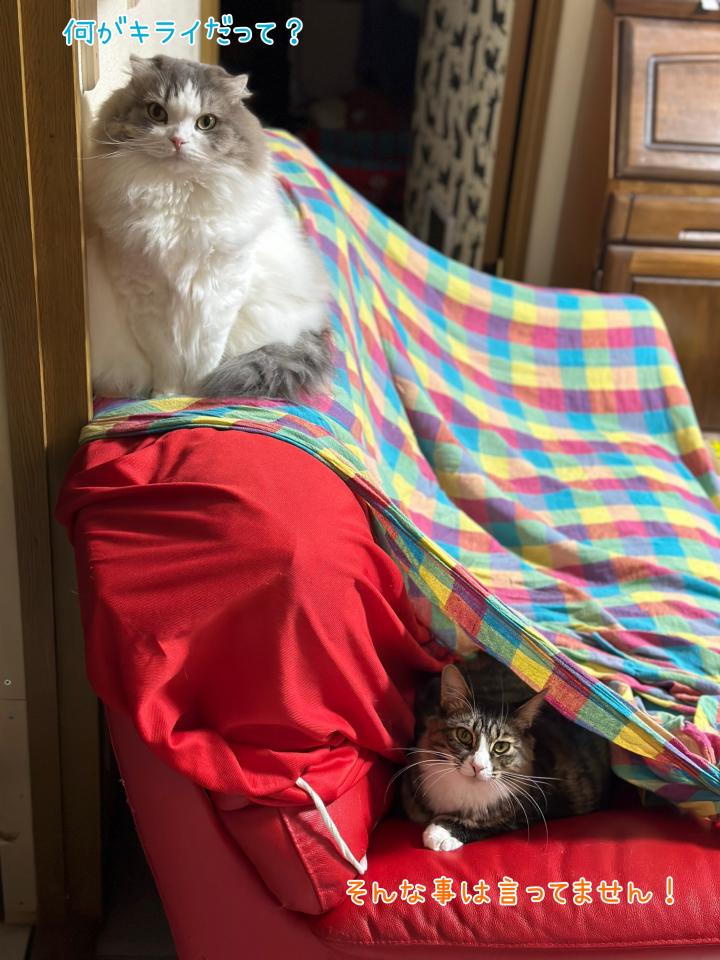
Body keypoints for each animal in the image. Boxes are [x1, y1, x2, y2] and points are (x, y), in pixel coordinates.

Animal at [84, 54, 332, 400]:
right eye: (157, 113)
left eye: (206, 123)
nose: (177, 141)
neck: (176, 200)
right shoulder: (144, 295)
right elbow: (166, 358)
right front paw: (168, 397)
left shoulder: (218, 292)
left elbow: (204, 357)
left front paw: (196, 394)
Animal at [401, 658, 610, 851]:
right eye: (464, 735)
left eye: (501, 746)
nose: (477, 766)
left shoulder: (533, 808)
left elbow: (494, 822)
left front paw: (442, 832)